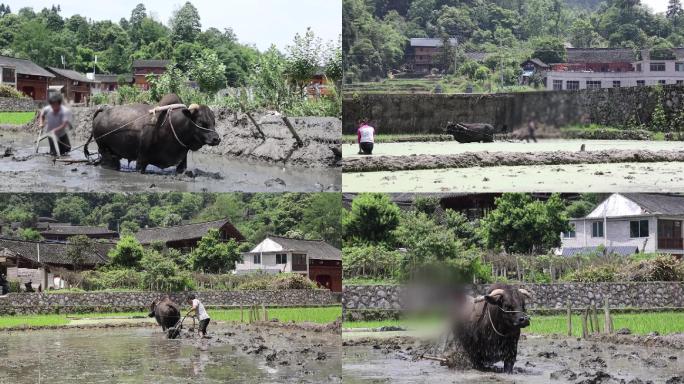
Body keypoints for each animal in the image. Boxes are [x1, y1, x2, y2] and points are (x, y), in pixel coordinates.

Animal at [84, 94, 220, 174]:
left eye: (214, 122)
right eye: (201, 122)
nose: (216, 139)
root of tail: (103, 110)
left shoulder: (182, 161)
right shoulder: (141, 160)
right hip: (104, 149)